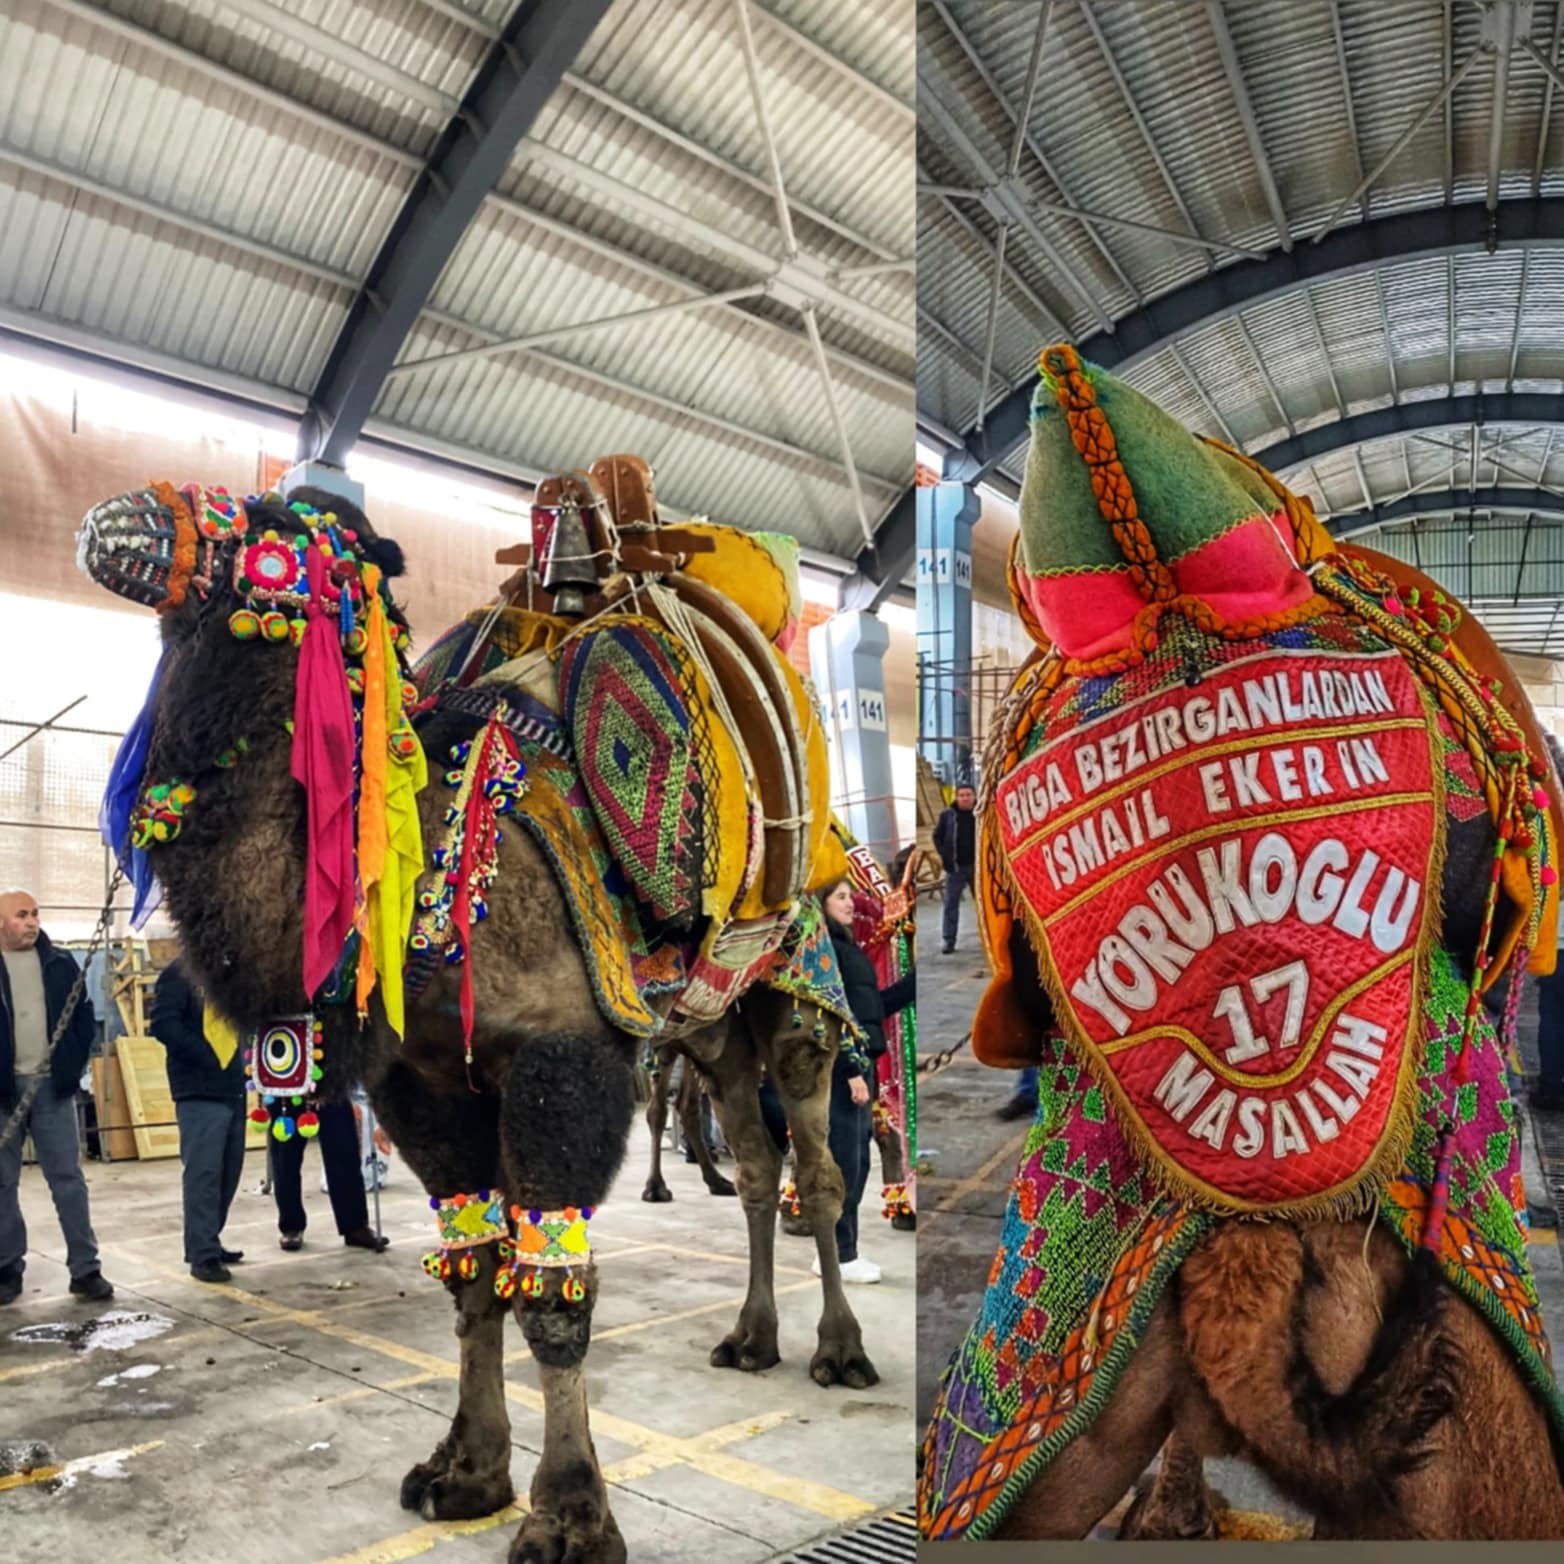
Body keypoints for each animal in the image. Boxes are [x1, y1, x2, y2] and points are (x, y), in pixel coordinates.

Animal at [79, 456, 882, 1564]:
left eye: (270, 529)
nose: (113, 519)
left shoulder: (559, 1060)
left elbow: (549, 1292)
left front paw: (569, 1515)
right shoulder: (416, 1082)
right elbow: (472, 1272)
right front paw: (465, 1470)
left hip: (796, 983)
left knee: (819, 1161)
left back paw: (838, 1351)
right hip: (707, 1025)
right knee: (758, 1165)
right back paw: (751, 1337)